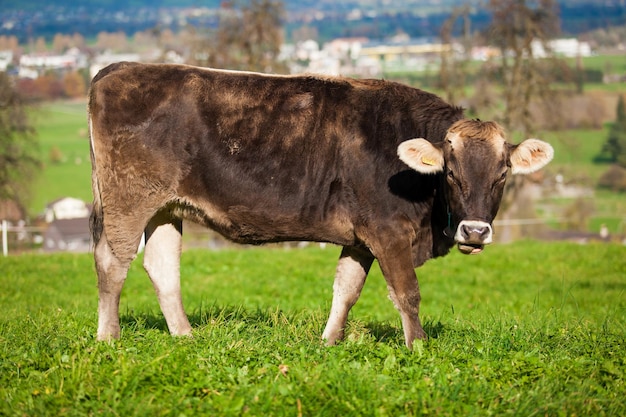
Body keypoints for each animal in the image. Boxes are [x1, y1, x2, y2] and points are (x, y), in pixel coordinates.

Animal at [88, 61, 552, 348]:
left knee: (162, 266)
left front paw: (329, 342)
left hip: (165, 208)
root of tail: (121, 68)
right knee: (113, 261)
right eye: (451, 173)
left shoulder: (362, 238)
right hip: (128, 200)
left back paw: (184, 336)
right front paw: (419, 348)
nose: (475, 231)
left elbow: (346, 290)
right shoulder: (388, 231)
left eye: (503, 174)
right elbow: (407, 292)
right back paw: (108, 338)